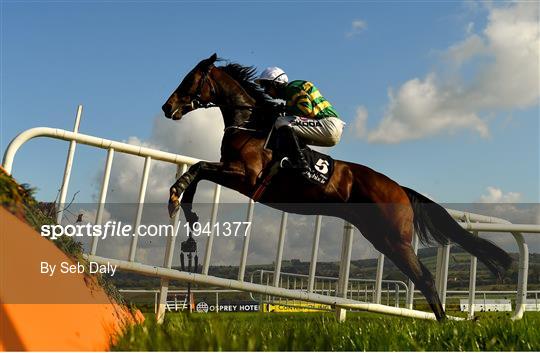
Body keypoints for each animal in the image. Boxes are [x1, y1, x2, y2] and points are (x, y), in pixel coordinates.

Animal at [160, 53, 510, 320]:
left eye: (189, 79)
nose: (167, 107)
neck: (251, 125)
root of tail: (400, 188)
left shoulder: (246, 175)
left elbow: (199, 167)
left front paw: (176, 196)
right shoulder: (235, 173)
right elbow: (199, 170)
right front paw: (187, 210)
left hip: (395, 238)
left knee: (424, 278)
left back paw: (442, 325)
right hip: (382, 238)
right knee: (421, 277)